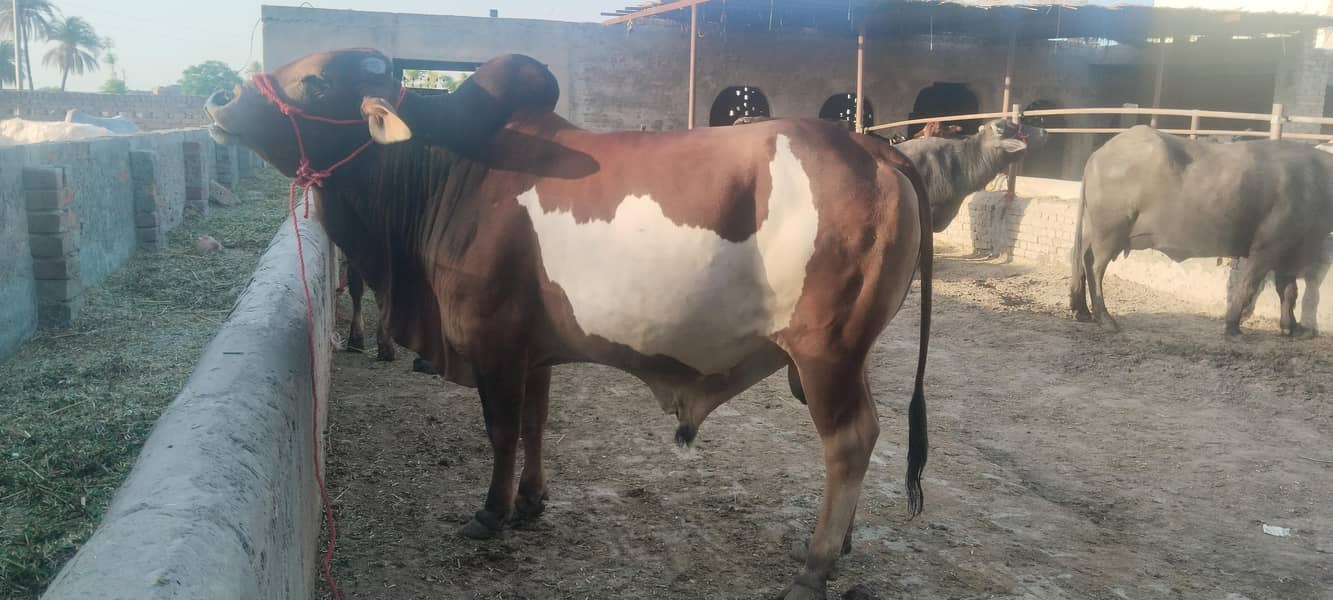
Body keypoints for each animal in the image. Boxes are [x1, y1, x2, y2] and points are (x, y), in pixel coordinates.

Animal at [205, 48, 933, 600]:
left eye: (316, 80)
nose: (217, 99)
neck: (444, 168)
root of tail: (874, 150)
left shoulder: (494, 342)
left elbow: (501, 430)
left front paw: (491, 512)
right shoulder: (533, 351)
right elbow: (534, 423)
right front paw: (531, 502)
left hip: (825, 352)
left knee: (850, 441)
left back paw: (815, 566)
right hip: (846, 357)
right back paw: (840, 542)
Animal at [1071, 125, 1333, 336]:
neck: (1316, 180)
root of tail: (1099, 154)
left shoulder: (1291, 250)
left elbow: (1289, 291)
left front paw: (1292, 327)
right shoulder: (1267, 247)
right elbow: (1248, 286)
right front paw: (1232, 326)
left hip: (1091, 230)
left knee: (1080, 258)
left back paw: (1081, 310)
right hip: (1109, 232)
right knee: (1095, 267)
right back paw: (1105, 318)